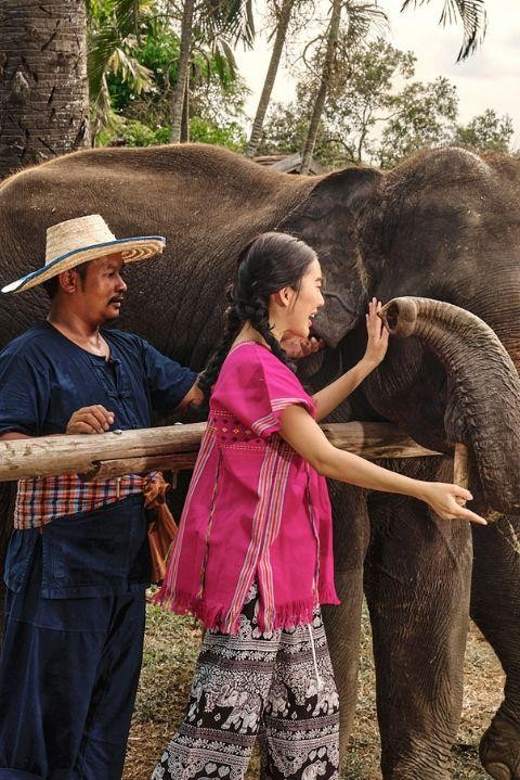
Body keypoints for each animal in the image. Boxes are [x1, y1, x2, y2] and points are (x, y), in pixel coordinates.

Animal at [1, 143, 520, 776]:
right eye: (452, 298)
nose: (395, 312)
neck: (381, 188)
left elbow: (433, 559)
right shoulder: (312, 372)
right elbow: (336, 558)